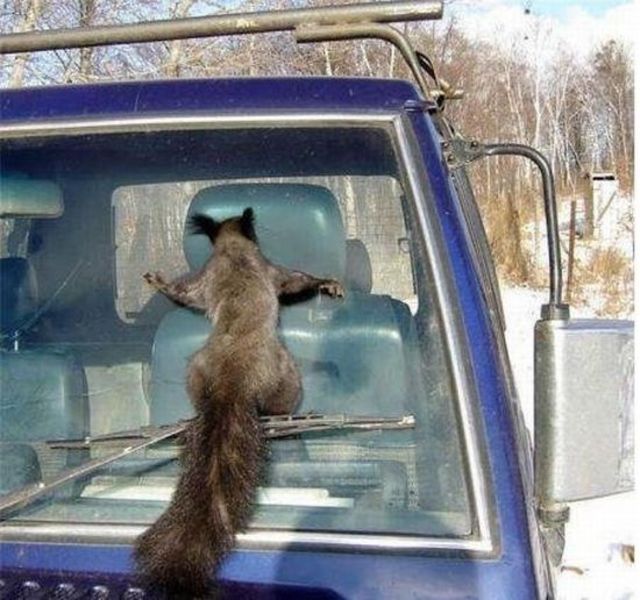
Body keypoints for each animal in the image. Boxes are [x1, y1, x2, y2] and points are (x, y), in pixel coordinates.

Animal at [134, 208, 344, 597]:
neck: (231, 248)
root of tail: (232, 381)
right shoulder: (272, 270)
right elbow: (296, 280)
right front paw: (327, 283)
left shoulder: (204, 279)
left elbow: (186, 293)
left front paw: (159, 282)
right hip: (287, 377)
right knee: (282, 405)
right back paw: (291, 420)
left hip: (195, 371)